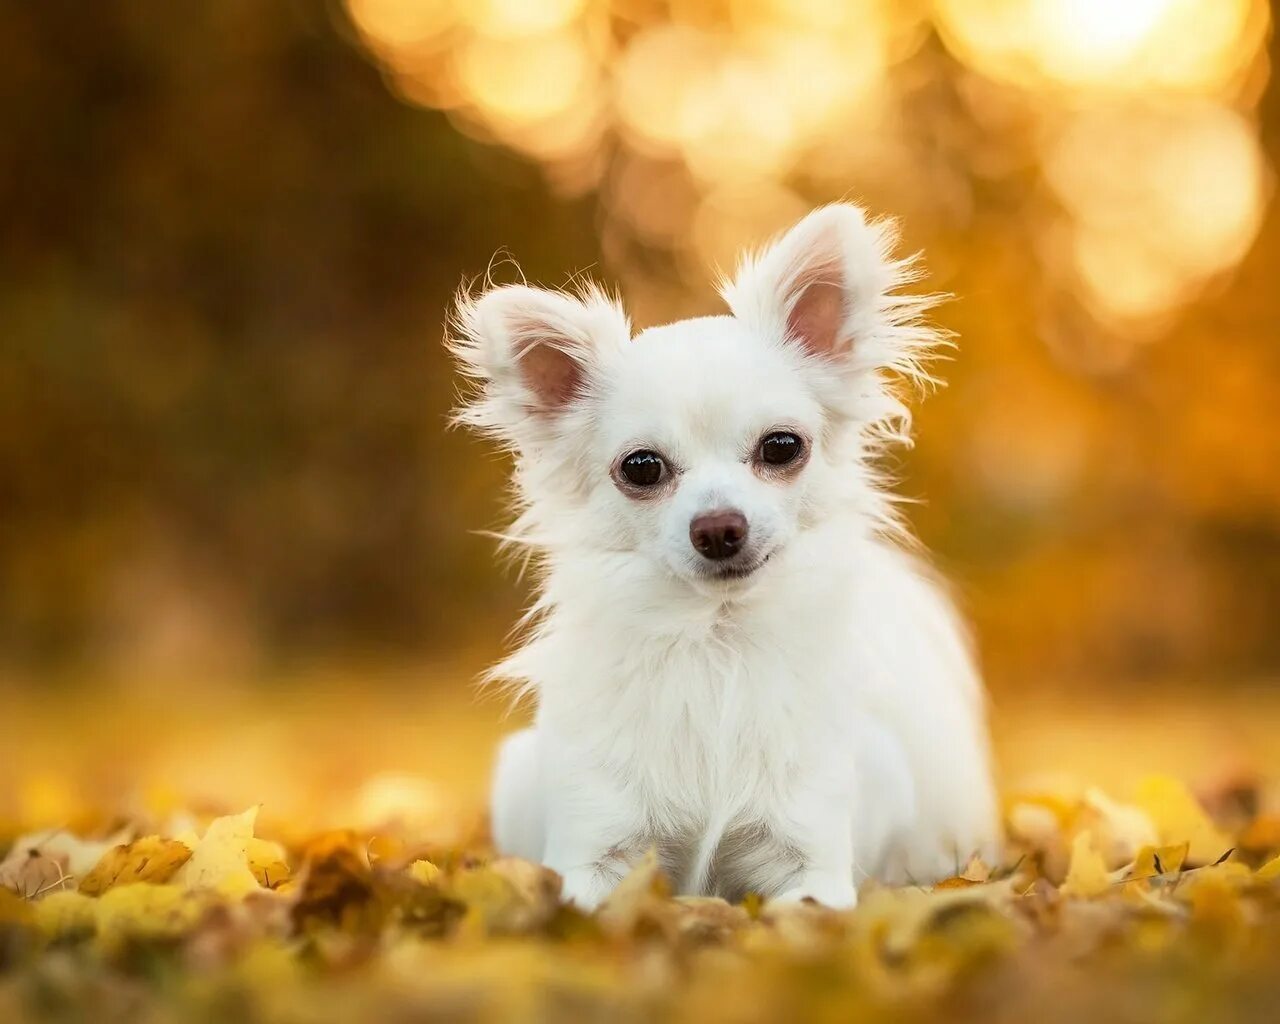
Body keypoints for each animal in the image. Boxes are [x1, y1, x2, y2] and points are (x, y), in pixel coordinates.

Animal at [450, 203, 998, 906]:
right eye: (642, 467)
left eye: (782, 447)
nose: (717, 527)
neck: (716, 642)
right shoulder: (595, 854)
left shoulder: (810, 865)